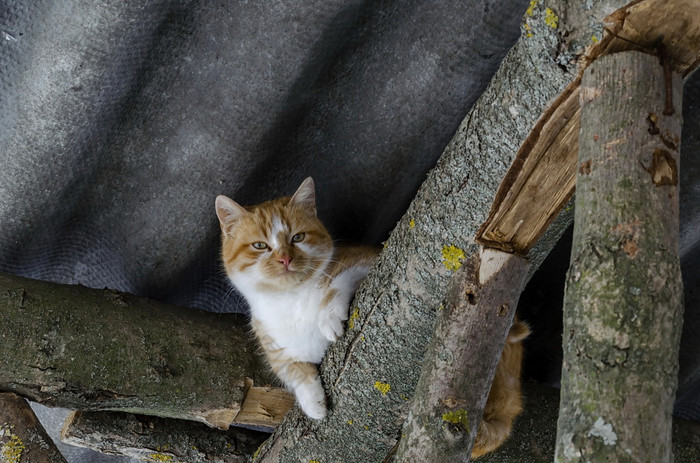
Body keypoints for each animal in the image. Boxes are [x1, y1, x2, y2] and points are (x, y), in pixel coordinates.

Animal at [213, 178, 378, 420]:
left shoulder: (365, 260)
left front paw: (328, 317)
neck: (291, 300)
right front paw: (312, 402)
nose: (285, 259)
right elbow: (291, 368)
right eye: (260, 245)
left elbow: (338, 282)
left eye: (297, 237)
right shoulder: (274, 346)